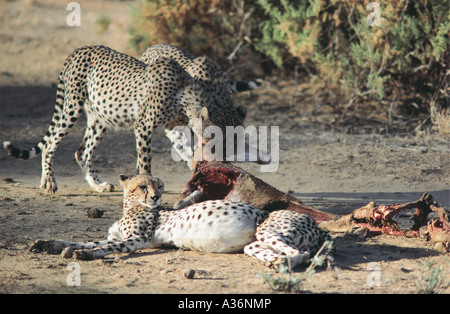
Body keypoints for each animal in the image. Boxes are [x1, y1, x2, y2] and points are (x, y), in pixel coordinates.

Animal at [2, 45, 246, 194]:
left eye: (235, 142)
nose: (224, 160)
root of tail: (80, 49)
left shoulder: (173, 125)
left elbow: (185, 152)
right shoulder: (144, 126)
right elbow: (145, 162)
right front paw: (146, 188)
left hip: (101, 116)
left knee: (82, 152)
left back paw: (98, 186)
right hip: (72, 106)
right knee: (51, 142)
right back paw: (49, 181)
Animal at [29, 174, 334, 268]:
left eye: (160, 186)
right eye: (143, 186)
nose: (155, 197)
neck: (131, 206)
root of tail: (316, 224)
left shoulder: (137, 240)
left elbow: (103, 247)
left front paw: (83, 254)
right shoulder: (119, 236)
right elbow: (83, 239)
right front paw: (48, 244)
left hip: (268, 229)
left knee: (302, 254)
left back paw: (283, 265)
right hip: (254, 243)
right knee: (282, 252)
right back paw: (275, 263)